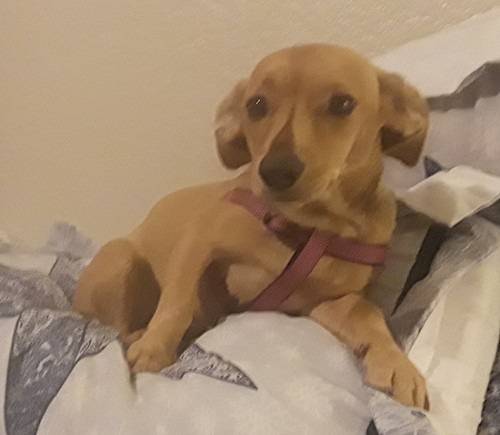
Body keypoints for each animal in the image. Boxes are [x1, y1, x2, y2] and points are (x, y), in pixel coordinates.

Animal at [74, 44, 430, 412]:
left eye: (342, 104)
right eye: (256, 105)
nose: (276, 171)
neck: (308, 229)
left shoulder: (325, 303)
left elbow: (370, 316)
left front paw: (397, 363)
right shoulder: (198, 241)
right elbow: (177, 302)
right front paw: (154, 348)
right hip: (120, 259)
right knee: (115, 327)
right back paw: (140, 335)